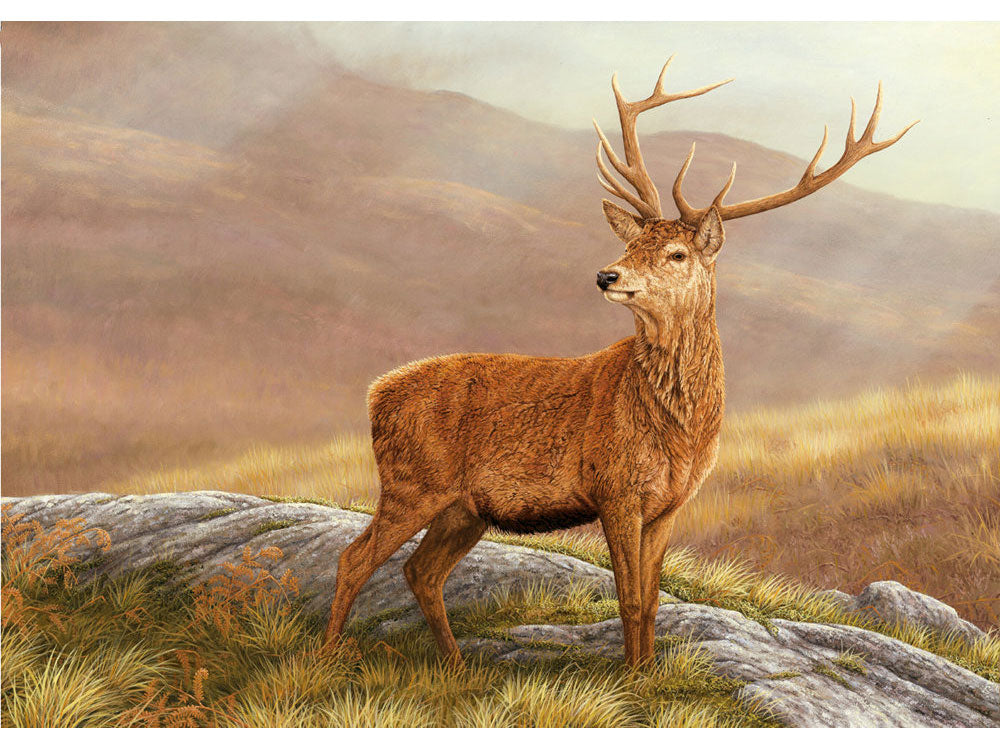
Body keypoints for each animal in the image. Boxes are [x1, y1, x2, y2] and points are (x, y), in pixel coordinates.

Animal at [324, 57, 916, 667]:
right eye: (632, 246)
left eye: (676, 253)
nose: (607, 274)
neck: (679, 431)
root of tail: (375, 393)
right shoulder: (615, 488)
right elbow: (628, 598)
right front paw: (631, 679)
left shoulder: (668, 504)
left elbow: (652, 600)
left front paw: (648, 673)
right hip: (412, 481)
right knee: (354, 558)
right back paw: (325, 658)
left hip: (464, 507)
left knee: (420, 571)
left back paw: (455, 665)